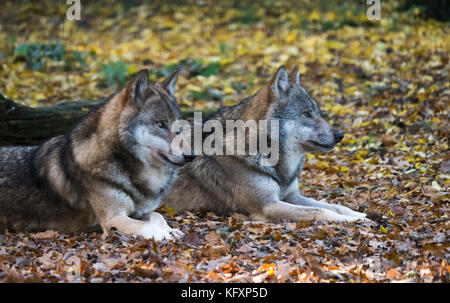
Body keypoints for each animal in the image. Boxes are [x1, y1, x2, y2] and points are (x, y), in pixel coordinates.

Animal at [0, 69, 191, 242]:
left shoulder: (139, 211)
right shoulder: (112, 219)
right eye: (160, 124)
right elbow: (145, 226)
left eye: (179, 125)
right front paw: (164, 233)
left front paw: (170, 229)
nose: (192, 156)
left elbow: (159, 216)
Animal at [162, 66, 370, 223]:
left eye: (317, 112)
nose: (340, 135)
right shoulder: (268, 206)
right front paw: (353, 221)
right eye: (307, 114)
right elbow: (321, 212)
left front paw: (361, 215)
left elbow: (336, 206)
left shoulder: (292, 196)